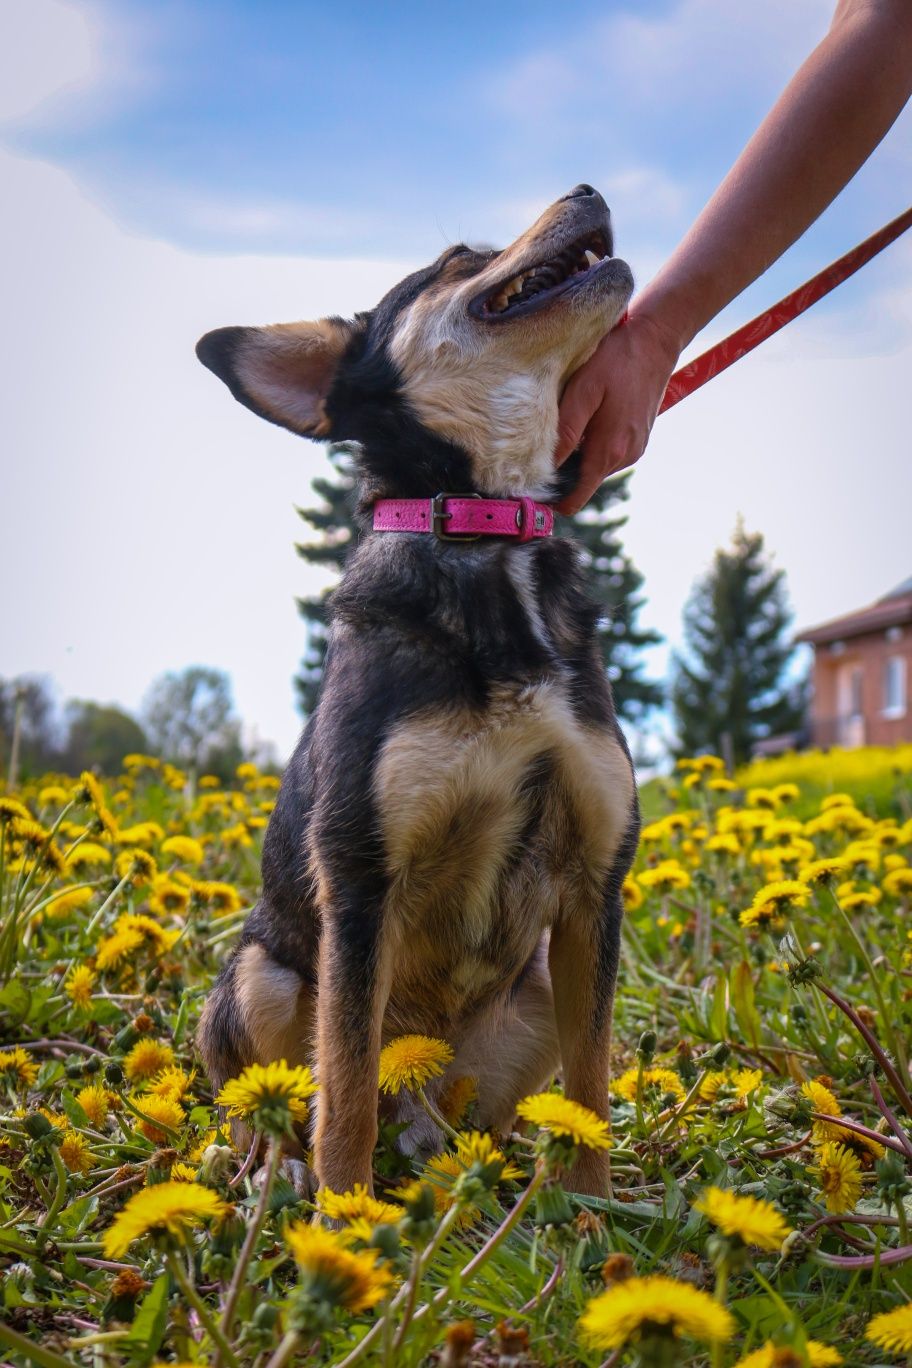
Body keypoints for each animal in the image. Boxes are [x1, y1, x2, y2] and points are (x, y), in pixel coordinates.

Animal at [198, 184, 642, 1198]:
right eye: (455, 257)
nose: (590, 189)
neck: (490, 530)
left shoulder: (595, 888)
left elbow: (593, 1093)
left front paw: (598, 1215)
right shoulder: (362, 881)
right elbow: (346, 1090)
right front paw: (342, 1213)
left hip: (537, 988)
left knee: (475, 1110)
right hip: (261, 974)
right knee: (275, 1100)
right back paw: (278, 1171)